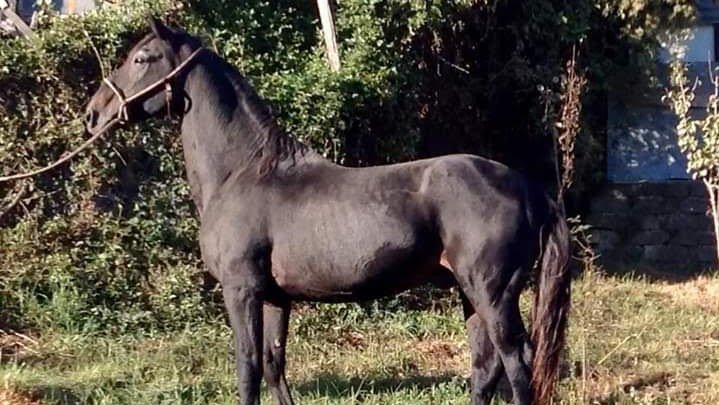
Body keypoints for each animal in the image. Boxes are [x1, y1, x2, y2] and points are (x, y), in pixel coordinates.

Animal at [84, 18, 570, 405]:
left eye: (142, 58)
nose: (93, 114)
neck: (243, 172)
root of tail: (529, 188)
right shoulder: (274, 297)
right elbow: (274, 364)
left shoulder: (241, 290)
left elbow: (248, 367)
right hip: (468, 293)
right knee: (485, 367)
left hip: (492, 293)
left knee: (515, 361)